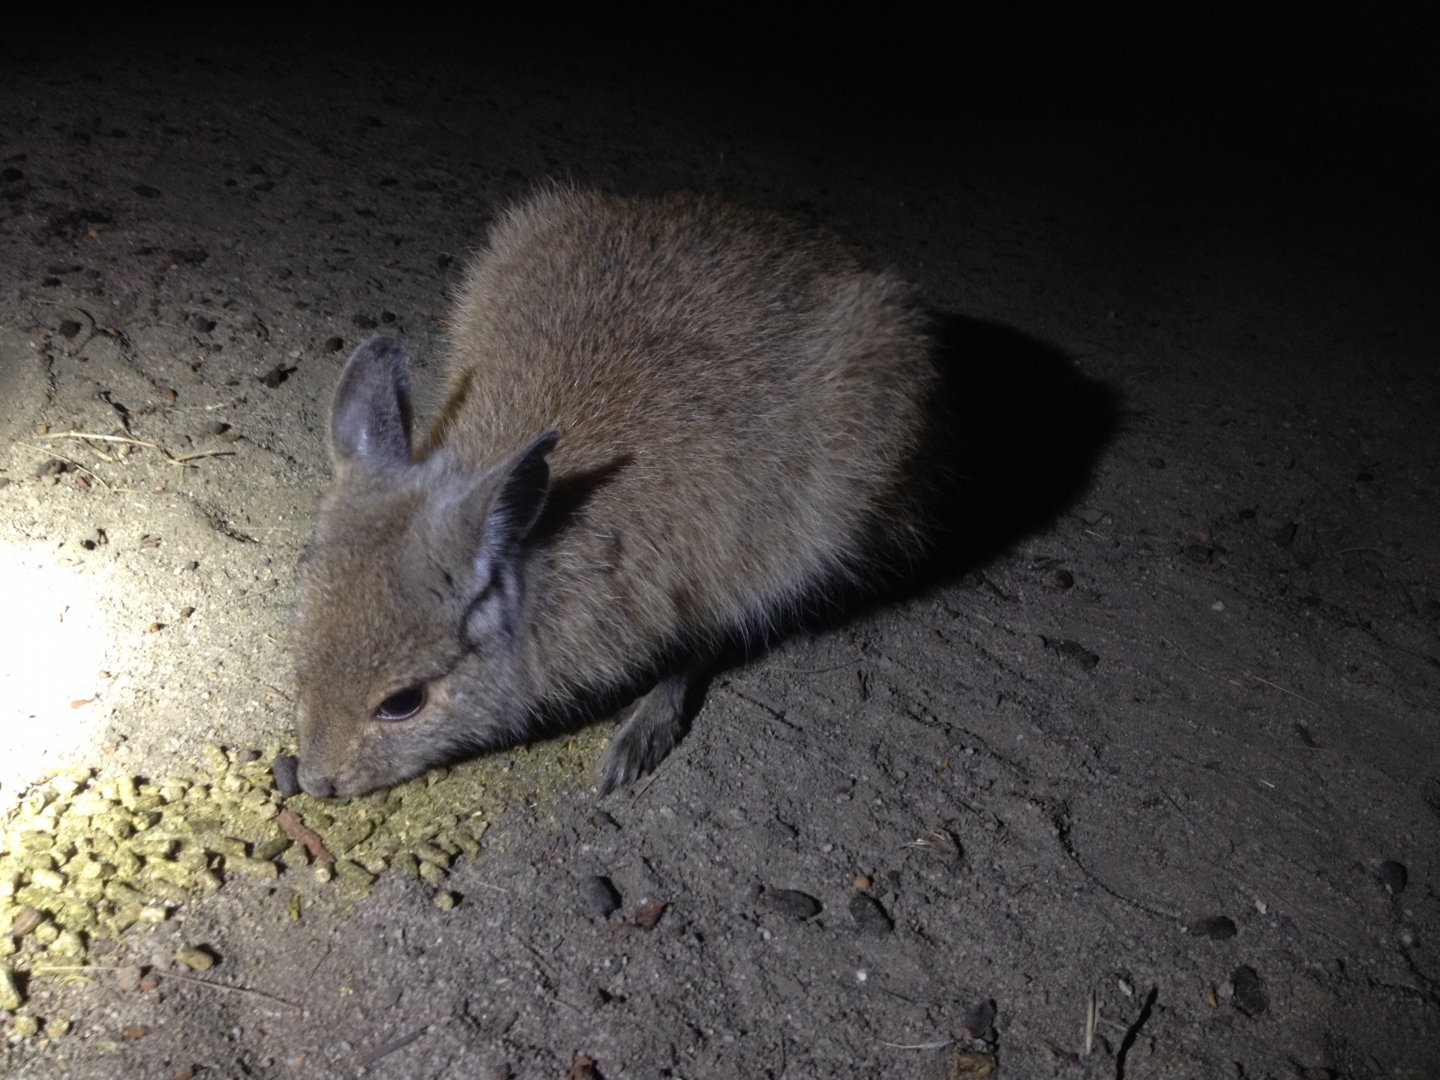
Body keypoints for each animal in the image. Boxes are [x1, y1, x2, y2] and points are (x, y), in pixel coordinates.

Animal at [293, 187, 938, 798]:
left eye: (403, 703)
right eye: (302, 660)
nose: (316, 782)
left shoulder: (729, 574)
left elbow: (694, 652)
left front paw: (638, 737)